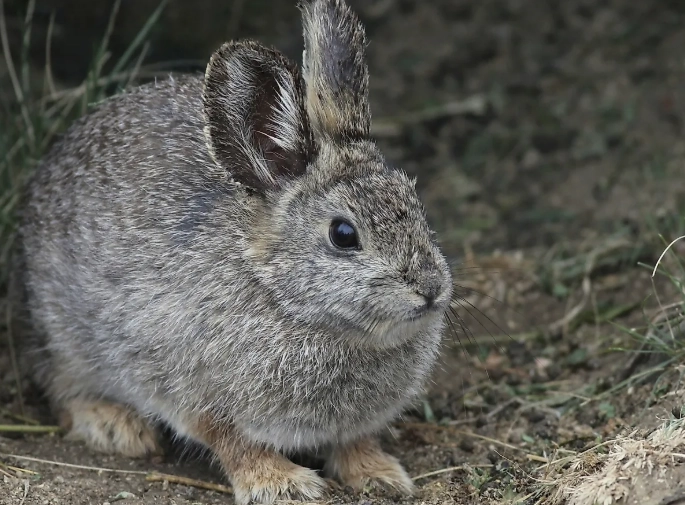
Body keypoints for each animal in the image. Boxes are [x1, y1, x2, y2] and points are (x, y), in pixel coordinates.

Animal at [15, 0, 453, 503]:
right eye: (344, 234)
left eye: (414, 202)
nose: (430, 289)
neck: (284, 299)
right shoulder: (192, 390)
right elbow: (234, 442)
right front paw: (282, 484)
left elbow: (354, 440)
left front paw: (380, 474)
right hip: (60, 336)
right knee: (63, 391)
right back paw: (116, 427)